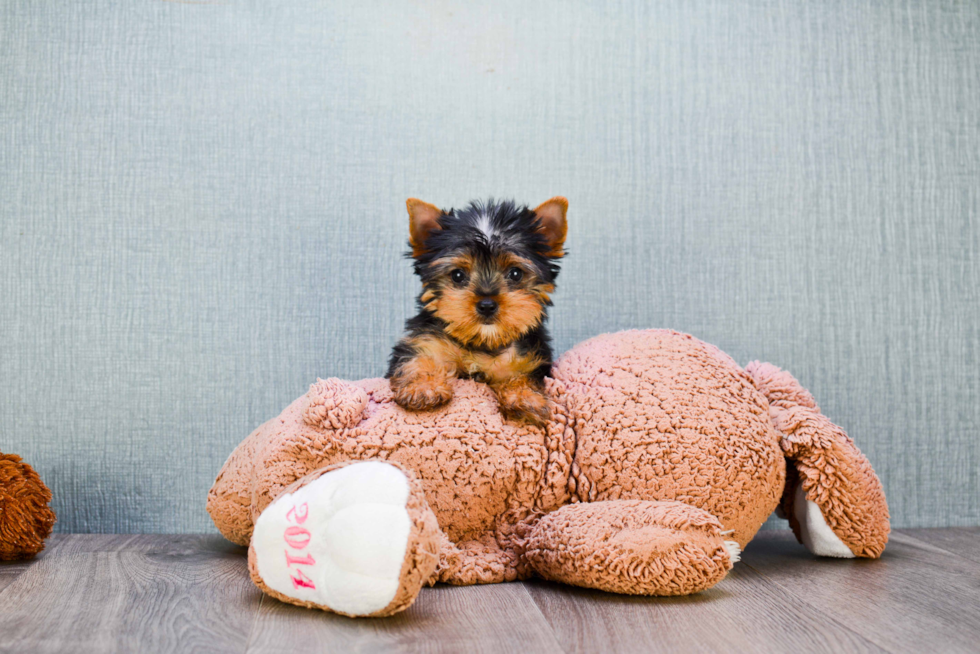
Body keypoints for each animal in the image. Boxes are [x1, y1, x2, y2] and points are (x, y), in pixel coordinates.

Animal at [384, 197, 568, 428]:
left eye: (515, 273)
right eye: (457, 275)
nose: (487, 304)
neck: (483, 340)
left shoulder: (528, 359)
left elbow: (523, 376)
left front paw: (525, 398)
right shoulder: (426, 341)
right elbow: (417, 359)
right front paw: (423, 388)